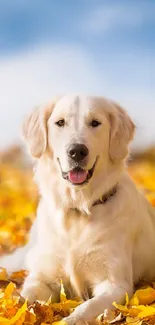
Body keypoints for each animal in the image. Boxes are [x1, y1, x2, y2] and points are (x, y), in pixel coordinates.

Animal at [0, 94, 155, 324]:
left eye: (95, 123)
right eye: (60, 122)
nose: (77, 151)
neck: (77, 209)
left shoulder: (115, 284)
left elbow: (85, 308)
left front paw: (69, 319)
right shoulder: (43, 279)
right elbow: (23, 299)